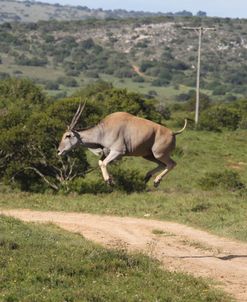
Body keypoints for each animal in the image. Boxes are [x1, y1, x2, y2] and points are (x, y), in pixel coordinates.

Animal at [57, 103, 186, 186]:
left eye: (68, 135)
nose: (59, 151)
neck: (103, 131)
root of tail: (173, 133)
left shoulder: (118, 152)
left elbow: (104, 163)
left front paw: (109, 181)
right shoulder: (106, 153)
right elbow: (100, 162)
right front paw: (110, 180)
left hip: (159, 154)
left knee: (171, 164)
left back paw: (156, 181)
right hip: (149, 155)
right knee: (162, 164)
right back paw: (147, 176)